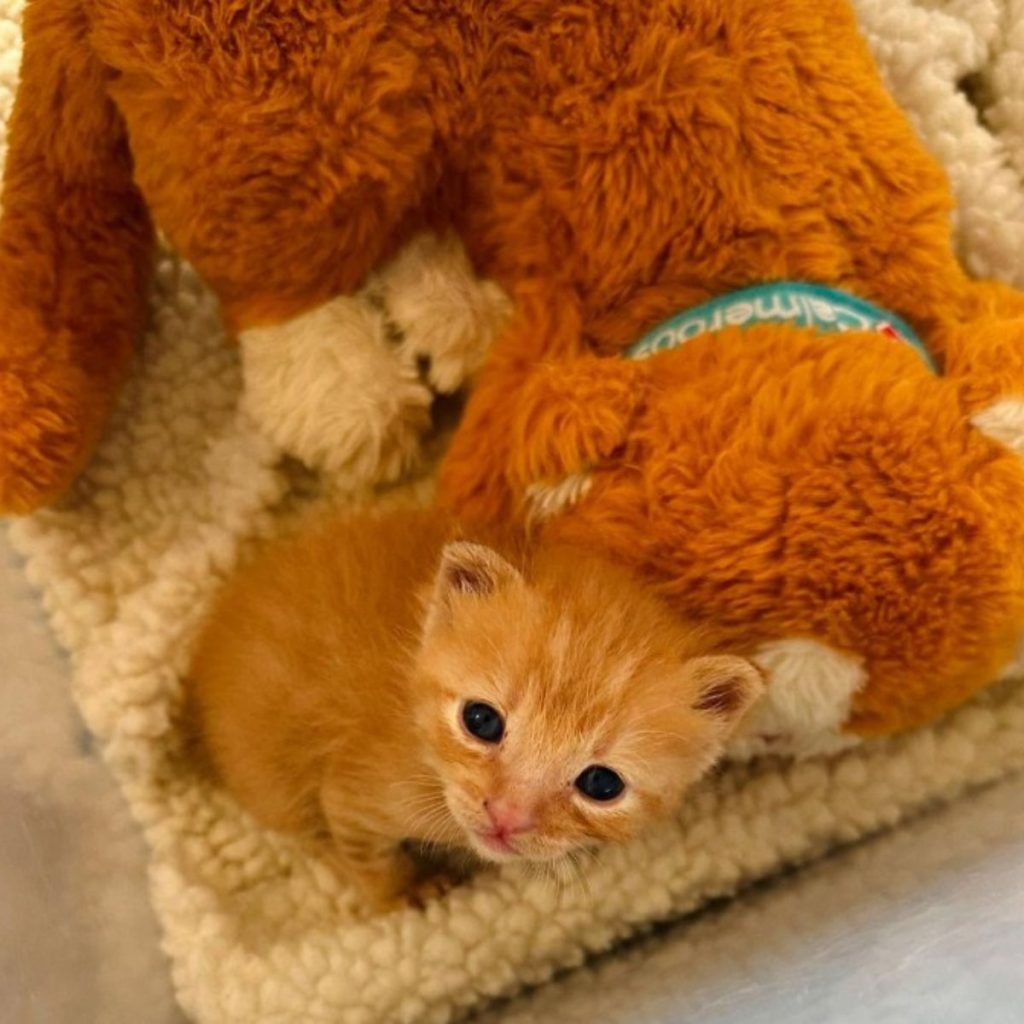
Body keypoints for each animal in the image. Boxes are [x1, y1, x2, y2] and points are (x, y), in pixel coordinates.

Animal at [184, 507, 765, 909]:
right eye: (482, 721)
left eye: (602, 784)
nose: (507, 818)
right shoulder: (353, 791)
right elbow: (366, 853)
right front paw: (400, 894)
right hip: (271, 777)